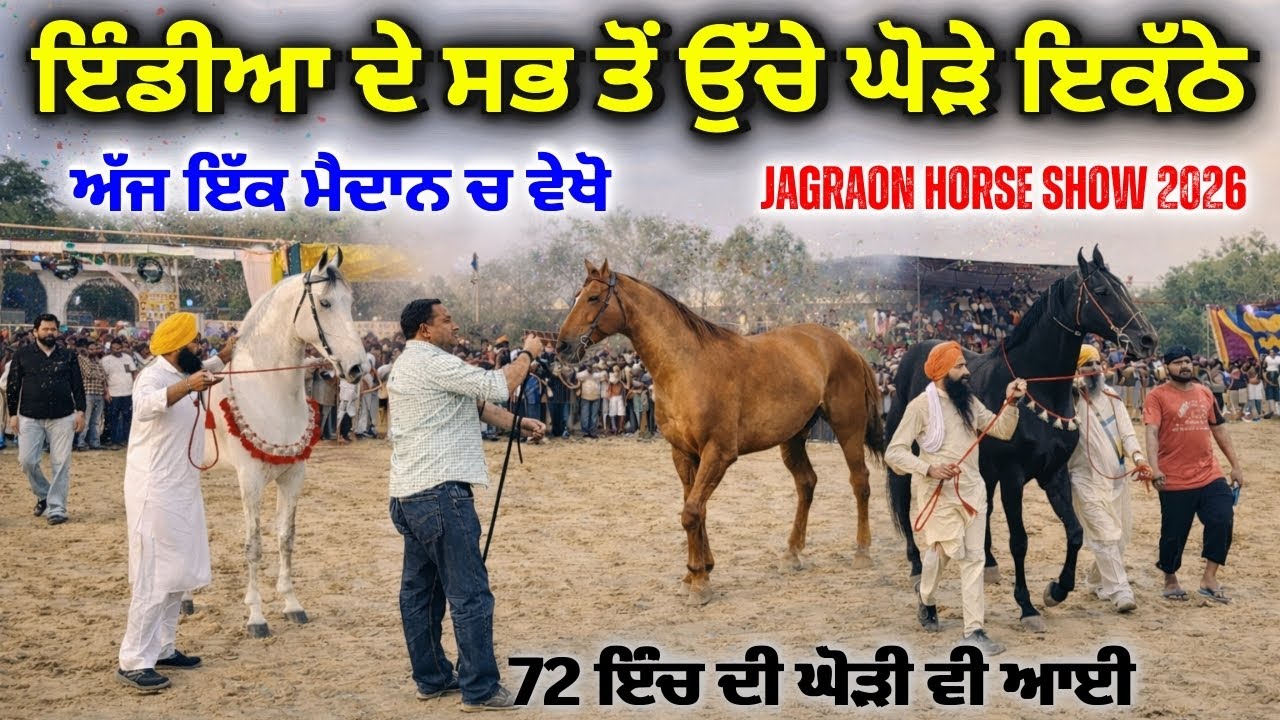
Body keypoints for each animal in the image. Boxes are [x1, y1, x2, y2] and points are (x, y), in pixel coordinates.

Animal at [183, 247, 367, 637]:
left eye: (351, 303)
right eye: (325, 303)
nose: (358, 368)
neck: (270, 391)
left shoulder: (293, 477)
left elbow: (286, 537)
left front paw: (292, 604)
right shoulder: (251, 480)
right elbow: (254, 544)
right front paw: (256, 616)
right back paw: (186, 599)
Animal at [556, 260, 885, 605]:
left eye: (593, 297)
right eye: (577, 296)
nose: (561, 345)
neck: (686, 366)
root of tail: (846, 347)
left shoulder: (719, 453)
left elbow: (691, 512)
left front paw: (700, 583)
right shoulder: (683, 453)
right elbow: (695, 510)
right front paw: (696, 573)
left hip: (848, 428)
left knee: (860, 481)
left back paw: (862, 552)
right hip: (794, 437)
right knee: (806, 483)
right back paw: (792, 554)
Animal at [885, 246, 1157, 631]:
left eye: (1122, 285)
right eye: (1102, 291)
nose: (1147, 339)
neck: (1039, 387)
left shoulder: (1053, 474)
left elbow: (1075, 532)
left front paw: (1056, 590)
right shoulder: (1013, 476)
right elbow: (1020, 541)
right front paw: (1027, 606)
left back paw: (987, 563)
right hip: (910, 452)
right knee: (905, 499)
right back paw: (917, 566)